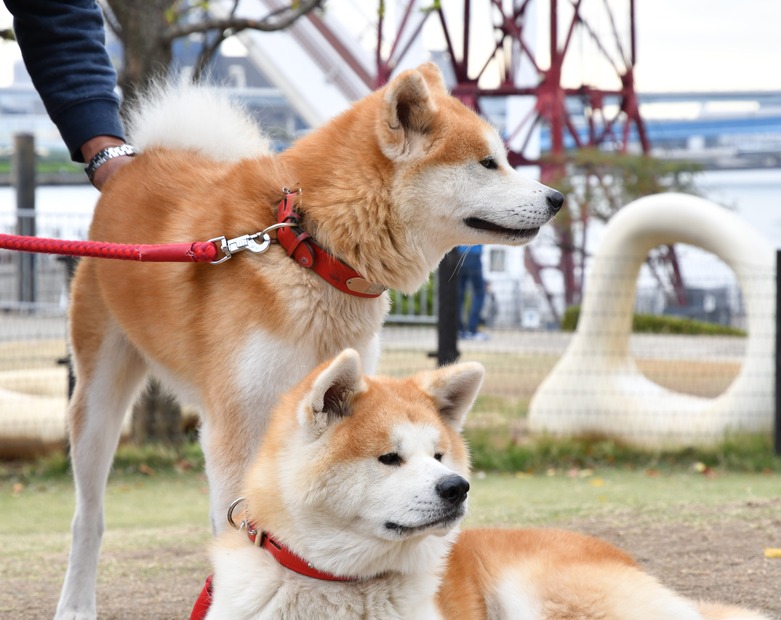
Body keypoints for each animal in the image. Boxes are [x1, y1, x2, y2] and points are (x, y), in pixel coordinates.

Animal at [56, 60, 568, 616]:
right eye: (487, 163)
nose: (558, 198)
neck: (309, 245)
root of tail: (133, 169)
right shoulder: (236, 426)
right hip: (98, 402)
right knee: (87, 516)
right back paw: (76, 602)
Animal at [200, 348, 768, 620]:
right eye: (389, 458)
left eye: (438, 456)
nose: (456, 488)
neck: (341, 584)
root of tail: (624, 557)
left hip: (538, 594)